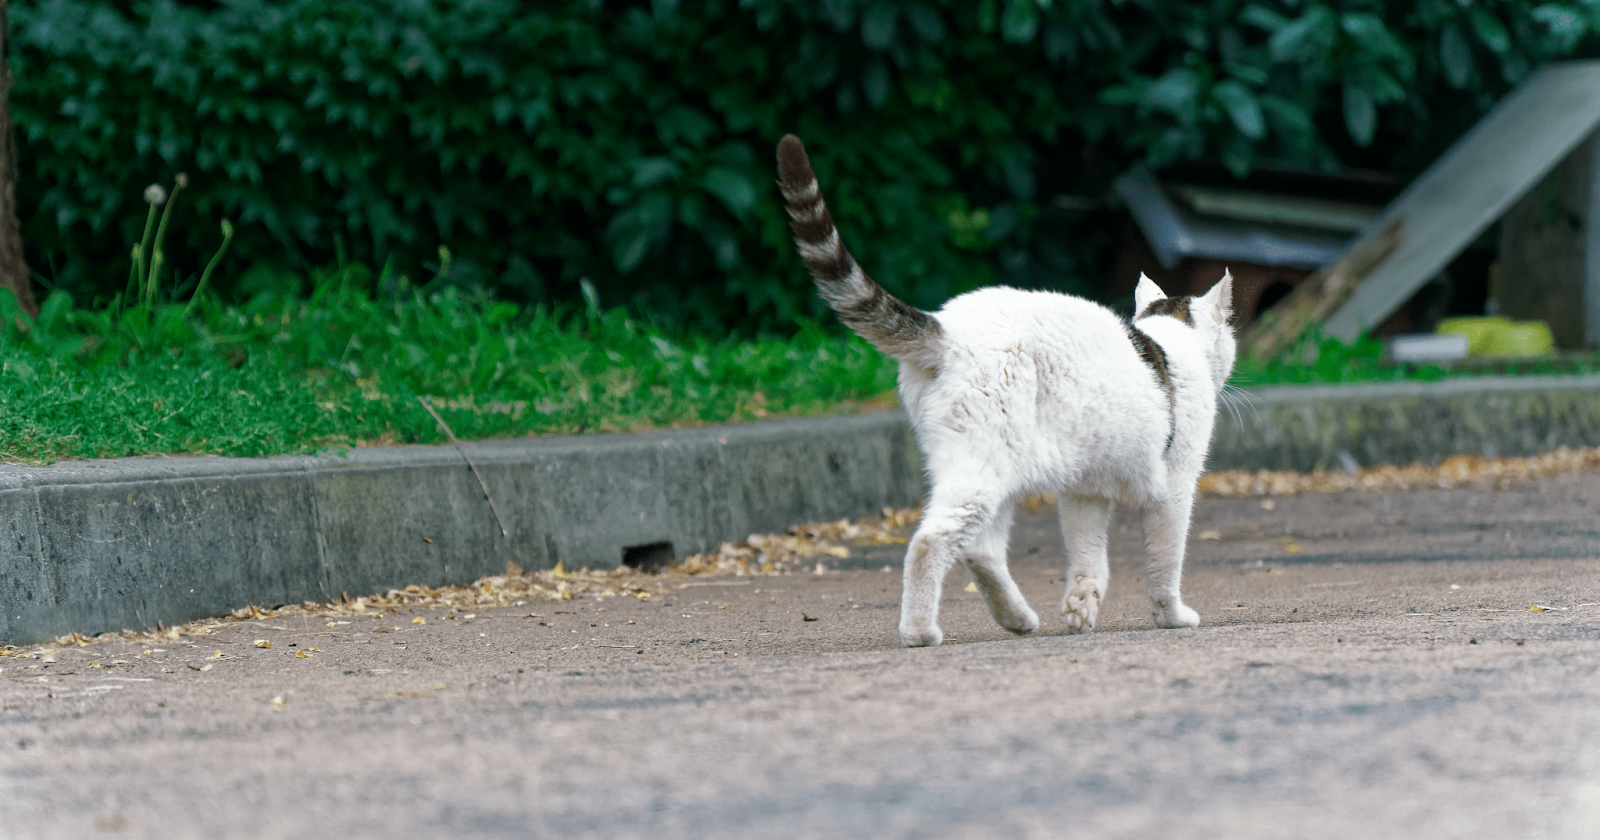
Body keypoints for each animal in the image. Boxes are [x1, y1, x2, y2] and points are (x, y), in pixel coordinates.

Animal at [774, 134, 1235, 646]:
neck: (1171, 339)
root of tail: (947, 329)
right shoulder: (1174, 488)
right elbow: (1164, 564)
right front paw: (1171, 616)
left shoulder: (1086, 491)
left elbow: (1088, 558)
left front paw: (1080, 608)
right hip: (987, 467)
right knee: (932, 541)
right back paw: (920, 631)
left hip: (985, 466)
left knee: (980, 550)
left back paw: (1018, 618)